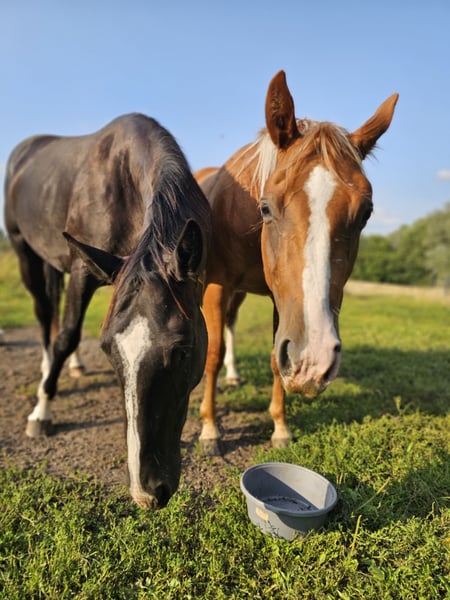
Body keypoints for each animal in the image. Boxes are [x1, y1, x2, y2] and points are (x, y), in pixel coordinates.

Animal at [4, 113, 212, 509]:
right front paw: (41, 410)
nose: (147, 492)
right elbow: (67, 335)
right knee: (46, 317)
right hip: (26, 254)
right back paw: (47, 375)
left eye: (182, 352)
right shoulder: (83, 271)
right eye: (109, 350)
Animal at [195, 70, 398, 455]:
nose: (313, 360)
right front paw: (210, 430)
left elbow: (276, 358)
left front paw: (280, 428)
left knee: (231, 325)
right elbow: (211, 353)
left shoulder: (281, 300)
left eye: (366, 213)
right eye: (266, 207)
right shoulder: (216, 285)